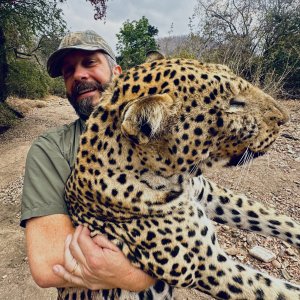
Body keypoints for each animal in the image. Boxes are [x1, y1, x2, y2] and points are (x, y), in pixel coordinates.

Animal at [61, 51, 300, 300]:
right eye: (234, 103)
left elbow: (267, 215)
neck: (178, 177)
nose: (285, 118)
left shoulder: (207, 192)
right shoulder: (203, 265)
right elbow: (275, 290)